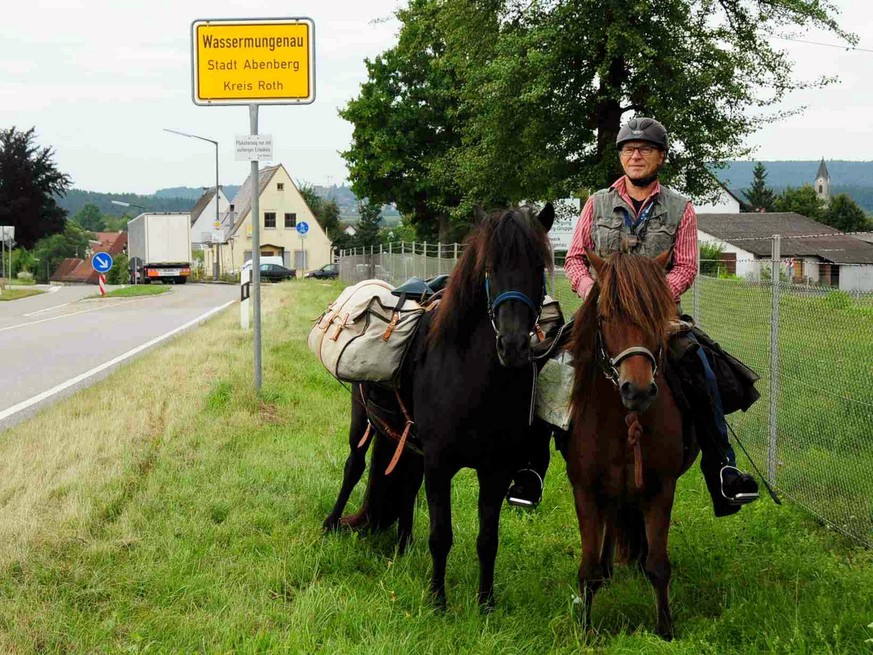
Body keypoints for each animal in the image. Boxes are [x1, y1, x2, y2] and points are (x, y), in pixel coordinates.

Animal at [320, 205, 552, 608]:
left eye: (539, 267)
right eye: (489, 268)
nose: (513, 346)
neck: (474, 381)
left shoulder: (496, 469)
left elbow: (488, 540)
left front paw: (485, 603)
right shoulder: (440, 464)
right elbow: (441, 534)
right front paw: (437, 601)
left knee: (405, 483)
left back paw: (402, 545)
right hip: (362, 420)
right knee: (354, 467)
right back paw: (333, 523)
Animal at [564, 250, 700, 640]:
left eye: (656, 315)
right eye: (606, 317)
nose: (637, 390)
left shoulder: (661, 489)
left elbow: (659, 565)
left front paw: (665, 630)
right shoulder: (585, 490)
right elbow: (588, 569)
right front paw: (586, 632)